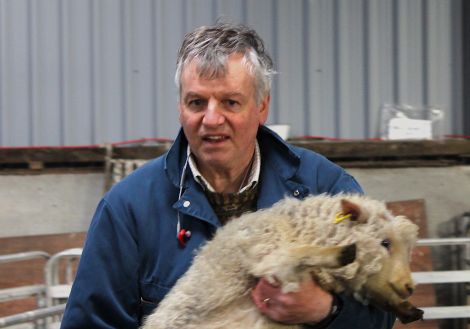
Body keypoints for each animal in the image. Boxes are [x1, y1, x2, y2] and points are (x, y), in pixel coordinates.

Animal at [141, 193, 424, 326]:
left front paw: (407, 309)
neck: (298, 229)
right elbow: (298, 253)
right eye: (385, 243)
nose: (409, 287)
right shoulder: (269, 262)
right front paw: (343, 252)